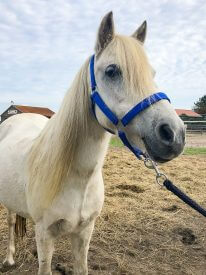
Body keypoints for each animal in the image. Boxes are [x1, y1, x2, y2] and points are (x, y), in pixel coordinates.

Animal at [0, 11, 185, 275]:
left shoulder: (85, 232)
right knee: (11, 220)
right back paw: (9, 259)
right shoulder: (44, 234)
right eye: (111, 71)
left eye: (152, 74)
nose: (174, 134)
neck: (78, 179)